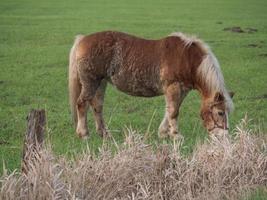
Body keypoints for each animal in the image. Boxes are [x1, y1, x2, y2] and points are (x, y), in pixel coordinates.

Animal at [69, 30, 234, 139]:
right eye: (220, 112)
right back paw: (83, 134)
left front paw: (163, 133)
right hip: (91, 82)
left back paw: (104, 133)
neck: (187, 58)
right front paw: (176, 135)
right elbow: (174, 112)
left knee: (97, 106)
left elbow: (170, 110)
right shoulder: (174, 88)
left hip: (101, 82)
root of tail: (83, 39)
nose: (224, 136)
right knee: (82, 104)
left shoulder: (182, 90)